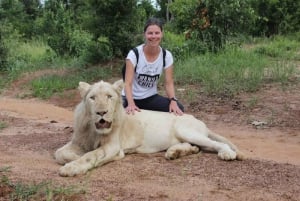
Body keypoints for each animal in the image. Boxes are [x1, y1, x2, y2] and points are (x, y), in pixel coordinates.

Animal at [55, 79, 245, 177]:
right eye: (93, 98)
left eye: (109, 96)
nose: (102, 112)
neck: (94, 130)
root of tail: (197, 119)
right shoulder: (79, 141)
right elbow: (60, 153)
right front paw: (72, 159)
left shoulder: (112, 145)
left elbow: (90, 156)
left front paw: (71, 168)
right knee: (196, 147)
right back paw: (174, 152)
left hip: (186, 130)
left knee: (215, 144)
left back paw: (227, 153)